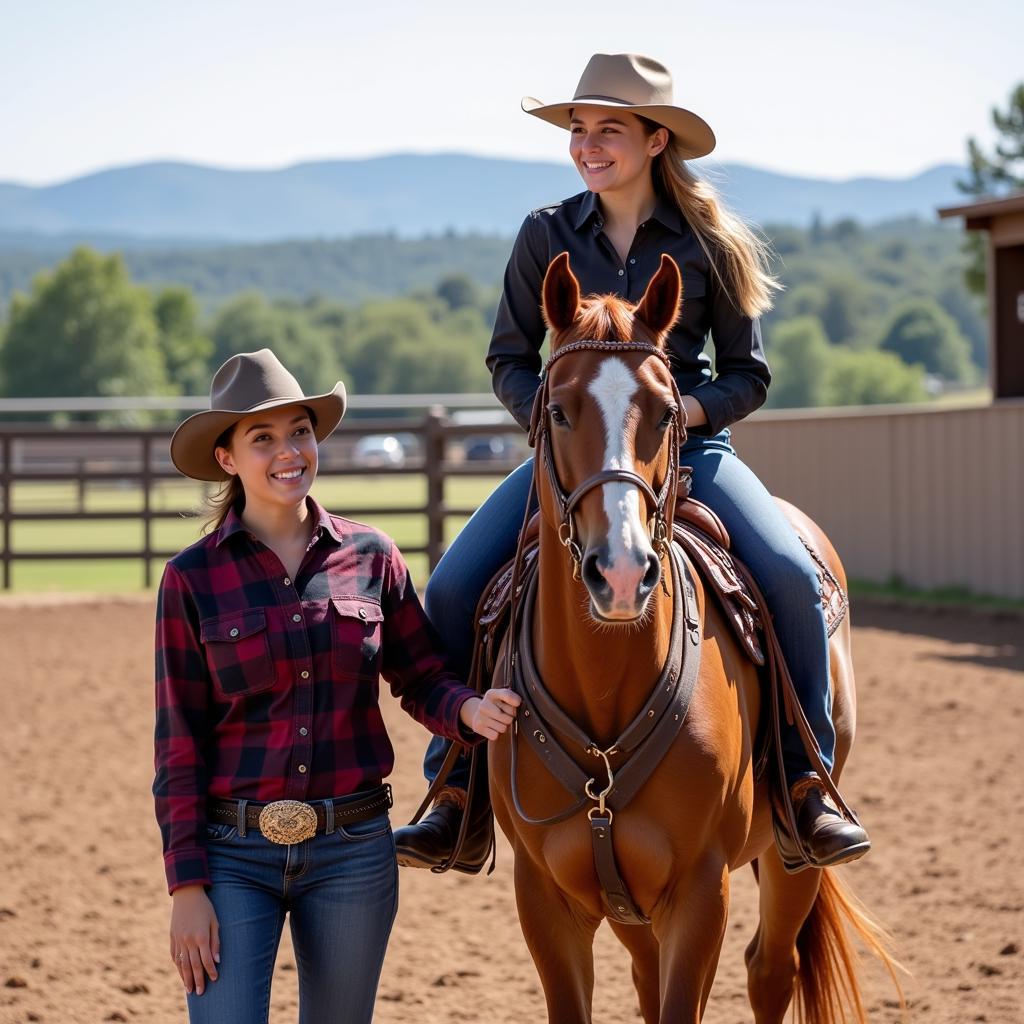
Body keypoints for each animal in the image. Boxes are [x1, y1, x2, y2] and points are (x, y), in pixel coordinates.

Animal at [487, 249, 897, 1024]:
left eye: (666, 411)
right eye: (558, 410)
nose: (620, 572)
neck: (608, 688)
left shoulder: (701, 891)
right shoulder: (545, 897)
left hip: (792, 857)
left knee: (770, 970)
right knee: (650, 978)